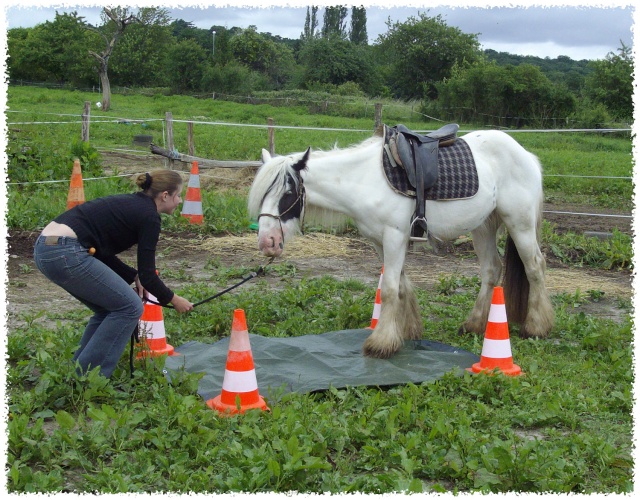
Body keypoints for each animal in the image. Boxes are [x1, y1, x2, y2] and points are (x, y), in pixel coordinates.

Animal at [248, 127, 552, 358]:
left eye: (288, 193)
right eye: (262, 195)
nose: (267, 242)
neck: (364, 181)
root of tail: (525, 154)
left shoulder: (395, 237)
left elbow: (390, 289)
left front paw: (381, 343)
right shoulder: (380, 243)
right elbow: (402, 286)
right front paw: (406, 331)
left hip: (520, 224)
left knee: (535, 267)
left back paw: (536, 327)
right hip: (483, 227)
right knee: (491, 270)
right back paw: (474, 323)